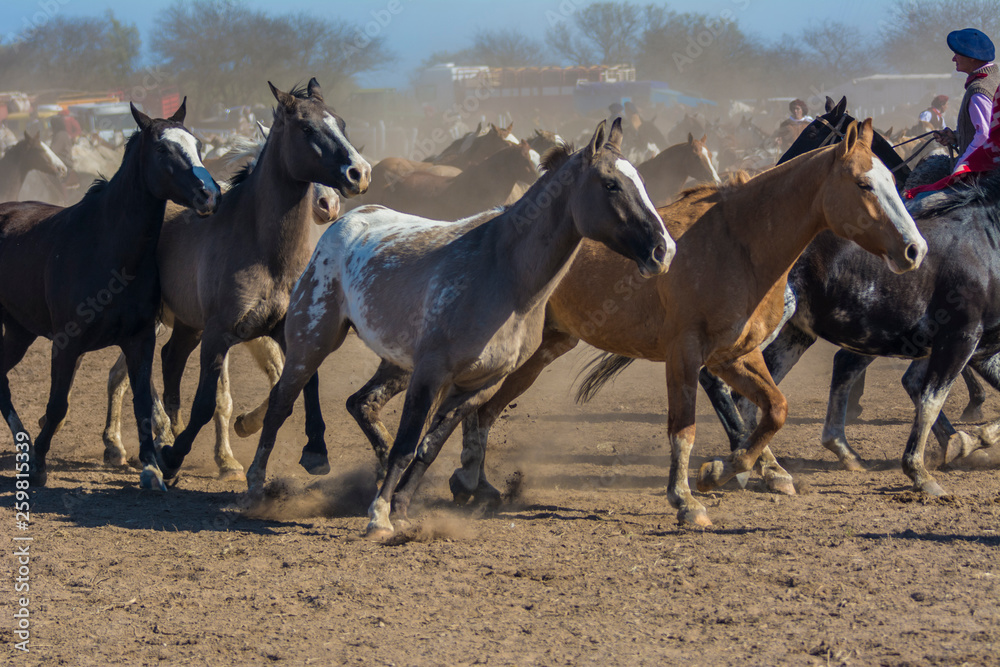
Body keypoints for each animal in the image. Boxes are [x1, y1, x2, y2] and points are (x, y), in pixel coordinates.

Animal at [0, 101, 220, 487]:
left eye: (198, 144)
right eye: (162, 149)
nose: (209, 194)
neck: (107, 249)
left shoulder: (140, 339)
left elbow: (143, 402)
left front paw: (151, 466)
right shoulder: (66, 342)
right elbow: (57, 405)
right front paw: (40, 463)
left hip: (18, 331)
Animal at [150, 79, 371, 488]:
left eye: (342, 122)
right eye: (306, 128)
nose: (359, 173)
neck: (265, 250)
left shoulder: (287, 329)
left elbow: (300, 385)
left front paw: (315, 449)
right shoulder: (219, 334)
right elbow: (207, 402)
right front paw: (177, 458)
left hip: (188, 325)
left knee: (170, 361)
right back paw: (145, 443)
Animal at [244, 118, 675, 538]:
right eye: (610, 184)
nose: (664, 249)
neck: (505, 274)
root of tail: (347, 220)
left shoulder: (480, 384)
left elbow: (430, 447)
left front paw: (402, 509)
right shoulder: (431, 373)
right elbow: (407, 445)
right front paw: (380, 516)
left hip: (395, 362)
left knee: (361, 403)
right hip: (312, 342)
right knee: (281, 404)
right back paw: (256, 487)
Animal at [333, 120, 927, 528]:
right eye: (865, 185)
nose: (914, 250)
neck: (739, 242)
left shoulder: (735, 356)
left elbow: (774, 409)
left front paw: (726, 472)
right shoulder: (686, 355)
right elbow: (684, 428)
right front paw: (687, 499)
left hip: (541, 351)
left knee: (480, 412)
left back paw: (471, 484)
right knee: (408, 405)